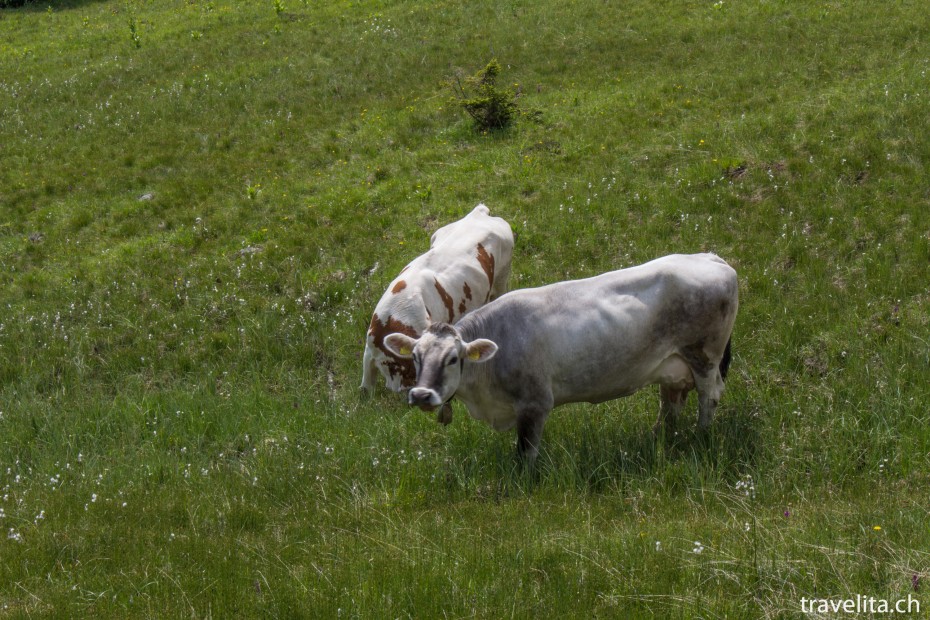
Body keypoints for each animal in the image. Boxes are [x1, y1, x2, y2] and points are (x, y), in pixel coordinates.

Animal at [380, 252, 736, 460]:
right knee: (671, 400)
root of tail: (712, 258)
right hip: (672, 365)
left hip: (704, 355)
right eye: (415, 357)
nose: (421, 394)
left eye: (453, 359)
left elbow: (525, 455)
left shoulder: (535, 404)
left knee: (709, 395)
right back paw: (659, 437)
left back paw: (701, 435)